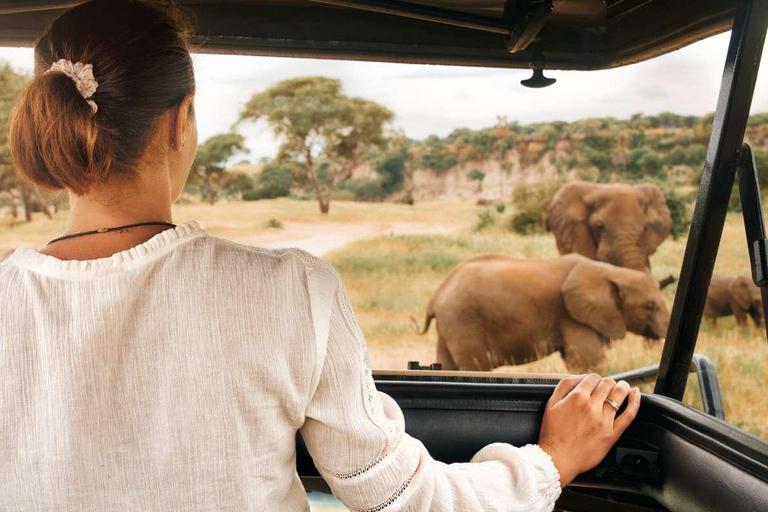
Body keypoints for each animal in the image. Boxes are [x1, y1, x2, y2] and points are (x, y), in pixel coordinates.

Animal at [412, 255, 668, 372]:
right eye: (649, 306)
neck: (612, 272)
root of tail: (437, 295)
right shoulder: (572, 316)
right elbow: (589, 361)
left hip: (451, 325)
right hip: (465, 322)